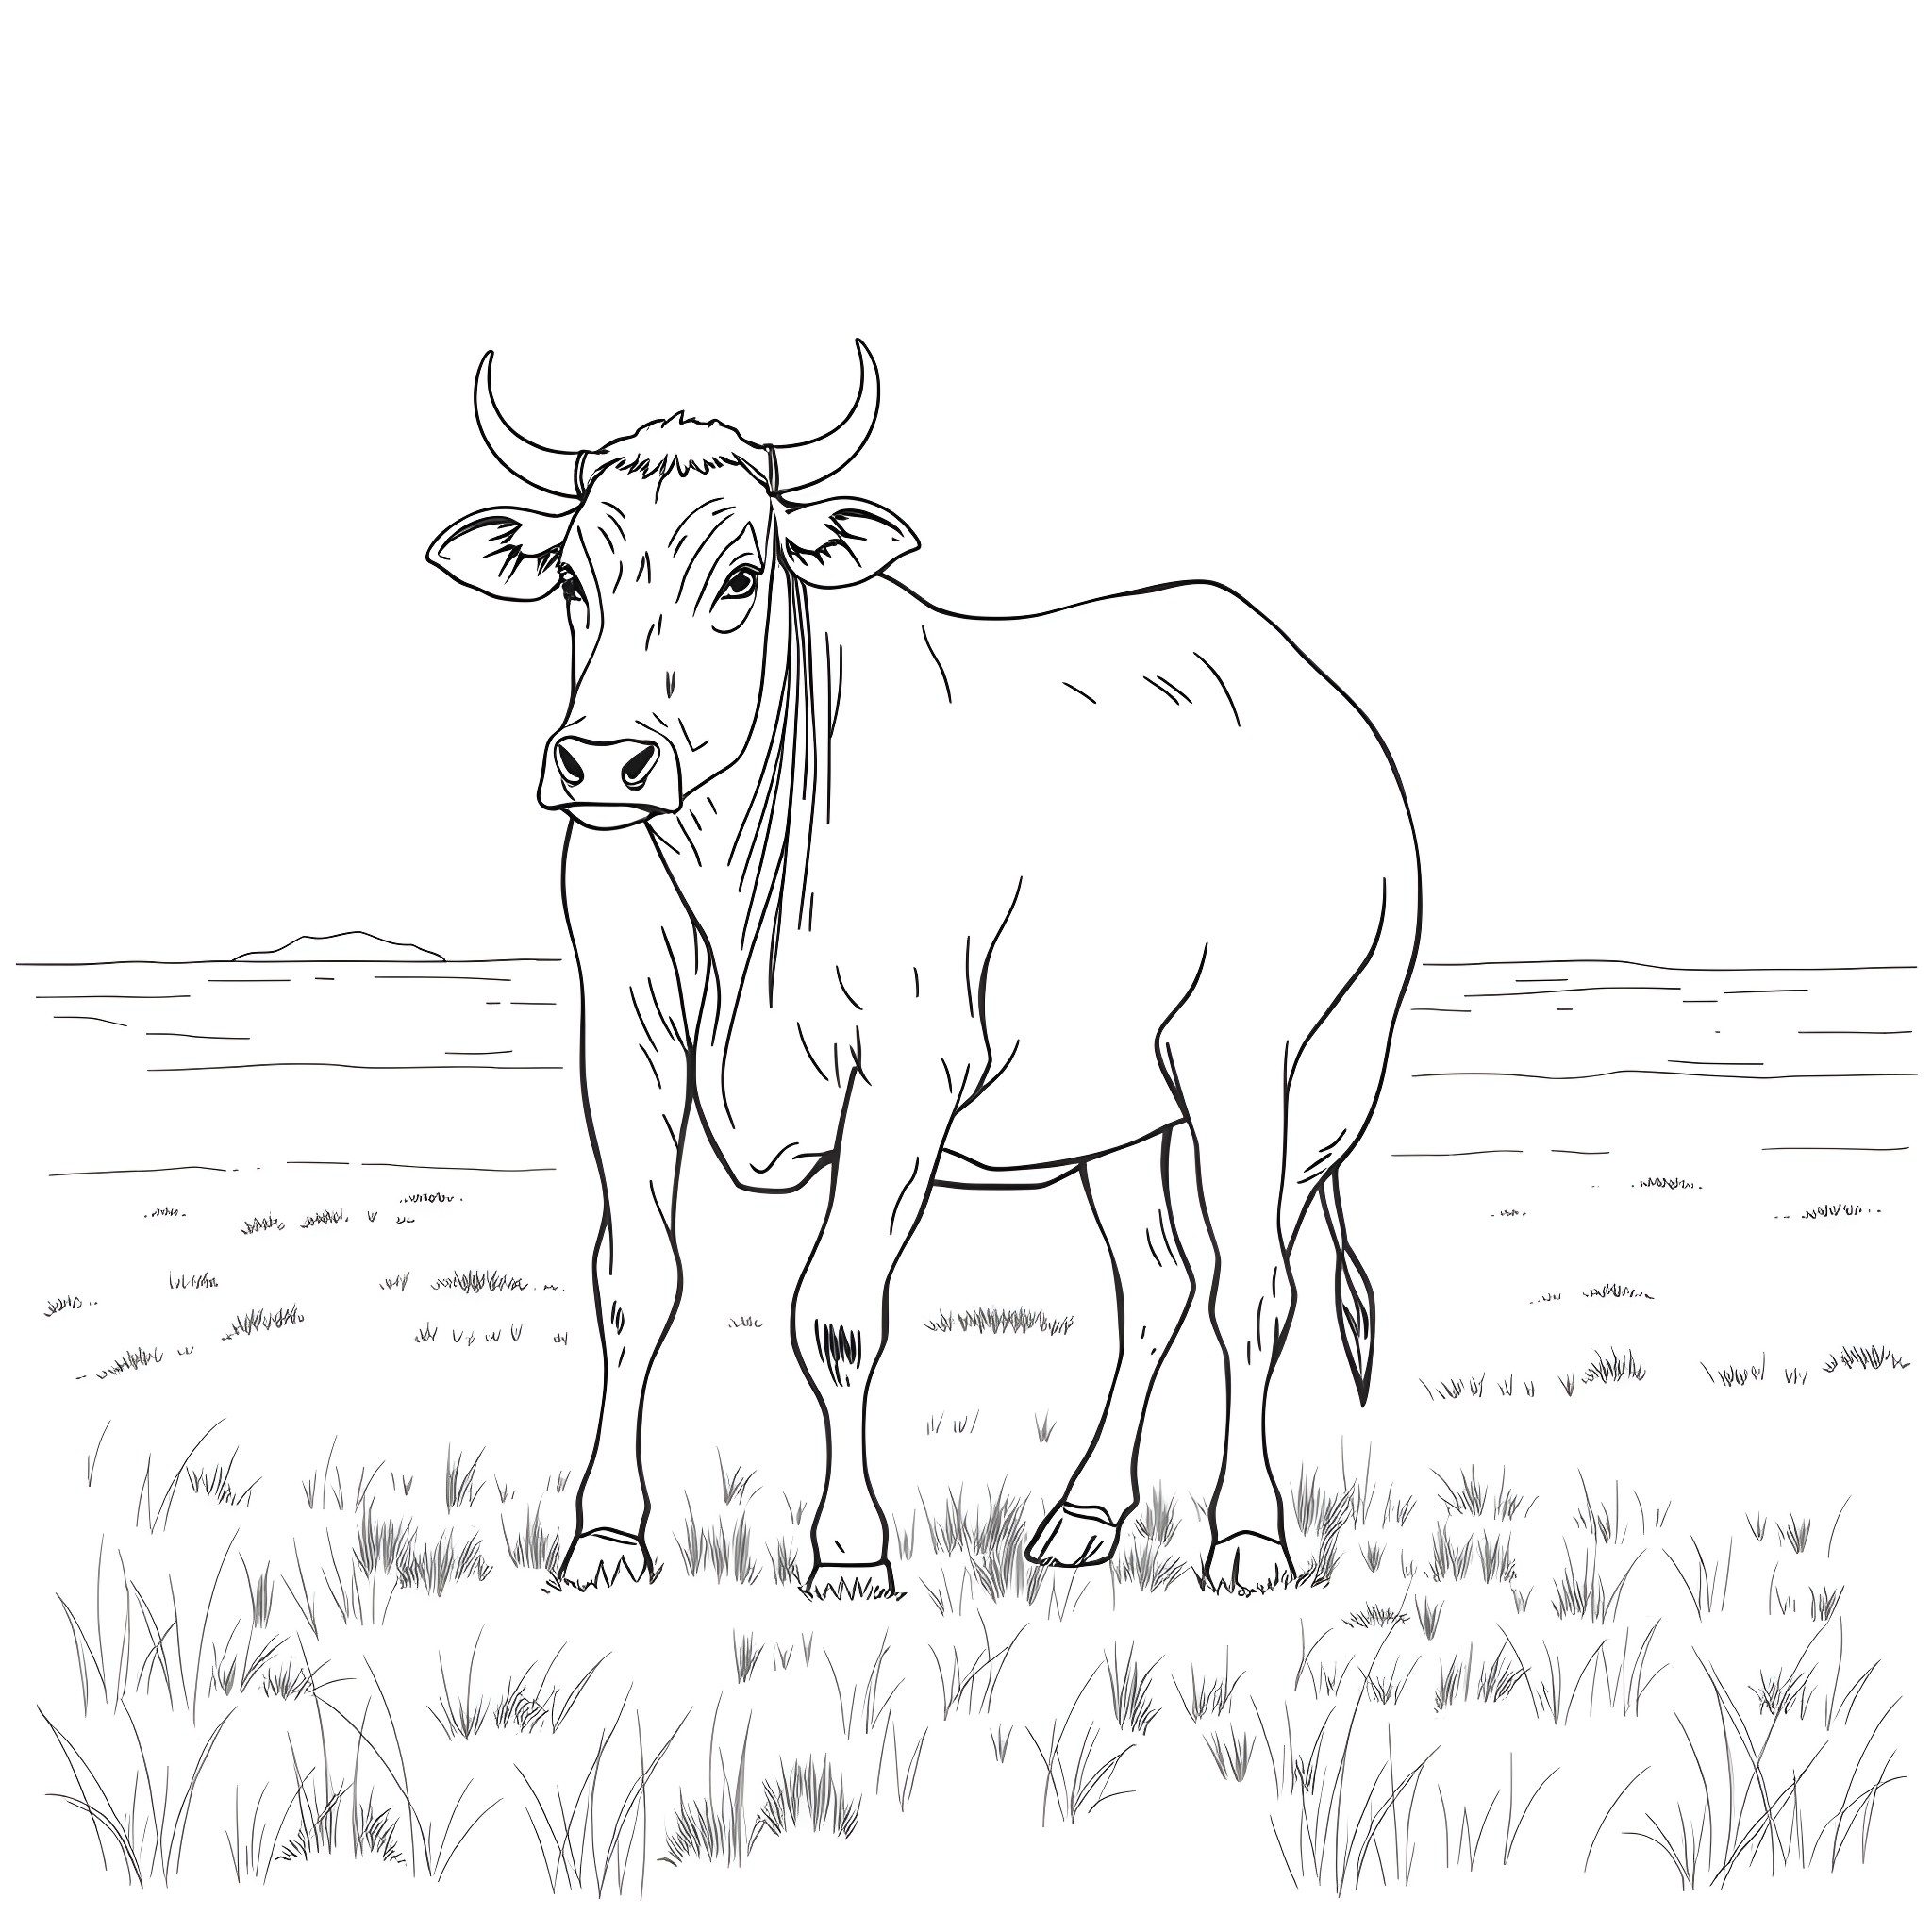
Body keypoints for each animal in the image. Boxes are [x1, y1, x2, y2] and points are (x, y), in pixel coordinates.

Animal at [428, 345, 1421, 1596]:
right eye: (569, 579)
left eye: (742, 573)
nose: (605, 760)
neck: (732, 877)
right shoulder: (626, 1042)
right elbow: (632, 1283)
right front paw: (606, 1536)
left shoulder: (905, 1070)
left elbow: (837, 1312)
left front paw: (849, 1551)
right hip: (1120, 1107)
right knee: (1157, 1285)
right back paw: (1084, 1513)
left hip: (1261, 1068)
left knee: (1253, 1288)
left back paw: (1245, 1537)